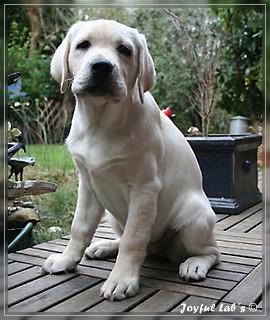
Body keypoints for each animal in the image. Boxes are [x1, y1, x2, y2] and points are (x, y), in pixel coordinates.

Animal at [43, 19, 220, 300]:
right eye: (83, 45)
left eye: (124, 50)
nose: (102, 66)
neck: (100, 123)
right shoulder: (88, 185)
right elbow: (79, 227)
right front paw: (66, 260)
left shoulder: (144, 188)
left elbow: (133, 239)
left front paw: (122, 279)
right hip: (113, 216)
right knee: (131, 239)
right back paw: (105, 246)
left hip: (196, 220)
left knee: (212, 252)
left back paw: (194, 264)